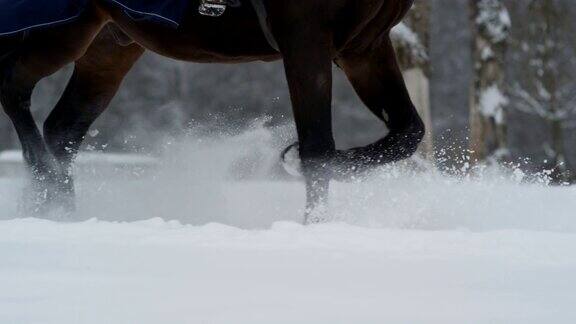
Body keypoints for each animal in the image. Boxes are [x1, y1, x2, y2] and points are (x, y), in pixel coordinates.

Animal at [0, 0, 424, 224]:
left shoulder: (364, 47)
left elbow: (408, 132)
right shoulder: (306, 40)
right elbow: (317, 148)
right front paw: (312, 223)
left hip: (109, 47)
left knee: (63, 127)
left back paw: (55, 208)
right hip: (59, 28)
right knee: (13, 87)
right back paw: (47, 183)